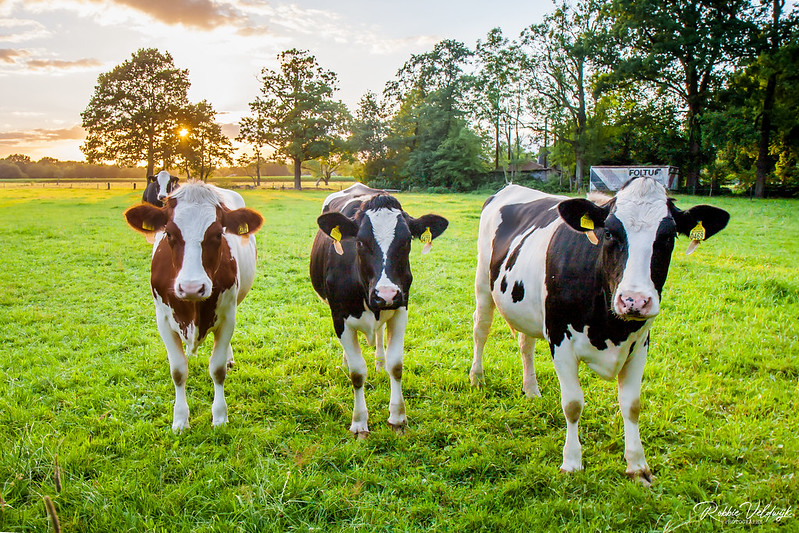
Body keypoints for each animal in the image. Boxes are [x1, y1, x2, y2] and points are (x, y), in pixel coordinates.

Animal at [123, 181, 264, 430]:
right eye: (169, 233)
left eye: (218, 233)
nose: (191, 287)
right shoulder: (163, 321)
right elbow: (178, 371)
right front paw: (180, 419)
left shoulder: (228, 317)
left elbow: (217, 369)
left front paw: (219, 416)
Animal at [310, 182, 450, 436]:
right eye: (359, 242)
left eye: (407, 241)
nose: (385, 293)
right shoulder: (339, 317)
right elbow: (357, 372)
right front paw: (359, 422)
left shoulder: (401, 308)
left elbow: (396, 366)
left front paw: (397, 418)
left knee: (380, 336)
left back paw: (379, 362)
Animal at [472, 177, 728, 484]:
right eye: (609, 233)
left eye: (668, 237)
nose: (634, 300)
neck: (610, 327)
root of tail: (509, 187)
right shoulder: (560, 338)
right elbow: (573, 404)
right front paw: (572, 462)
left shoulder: (640, 344)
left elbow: (632, 405)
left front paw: (637, 466)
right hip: (483, 284)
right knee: (481, 329)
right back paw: (477, 377)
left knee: (526, 343)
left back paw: (531, 389)